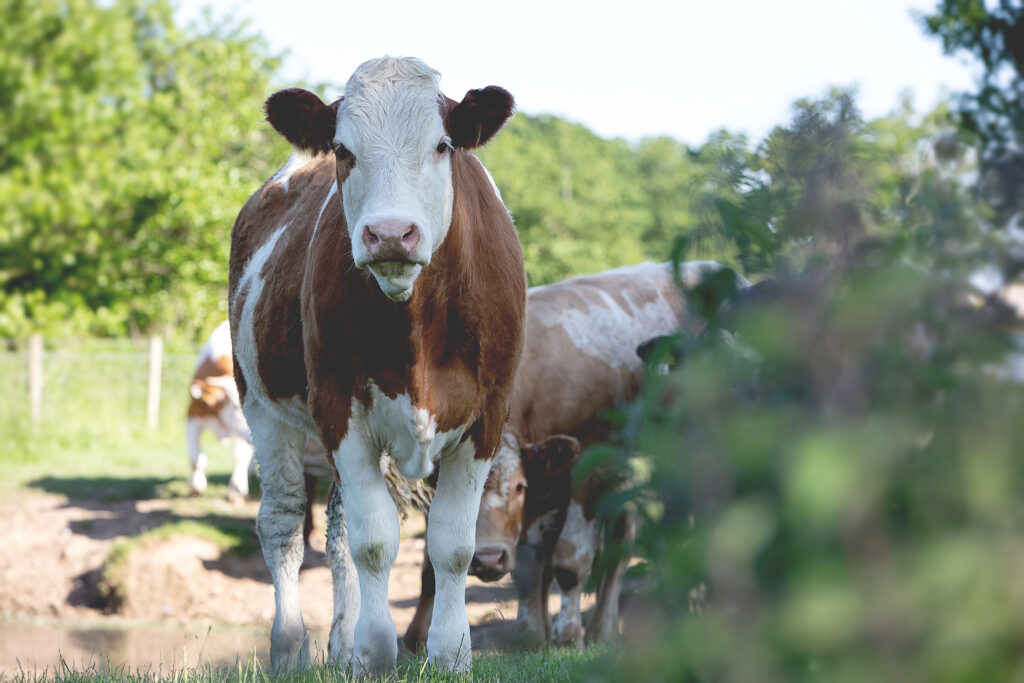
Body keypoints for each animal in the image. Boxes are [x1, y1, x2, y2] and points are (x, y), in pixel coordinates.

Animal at [186, 319, 253, 501]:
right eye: (236, 407)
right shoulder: (193, 417)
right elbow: (196, 457)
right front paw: (196, 486)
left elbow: (239, 456)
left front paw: (236, 489)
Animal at [399, 260, 745, 651]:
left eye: (518, 487)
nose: (487, 558)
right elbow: (526, 565)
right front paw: (532, 635)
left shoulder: (584, 467)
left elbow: (569, 560)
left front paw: (566, 637)